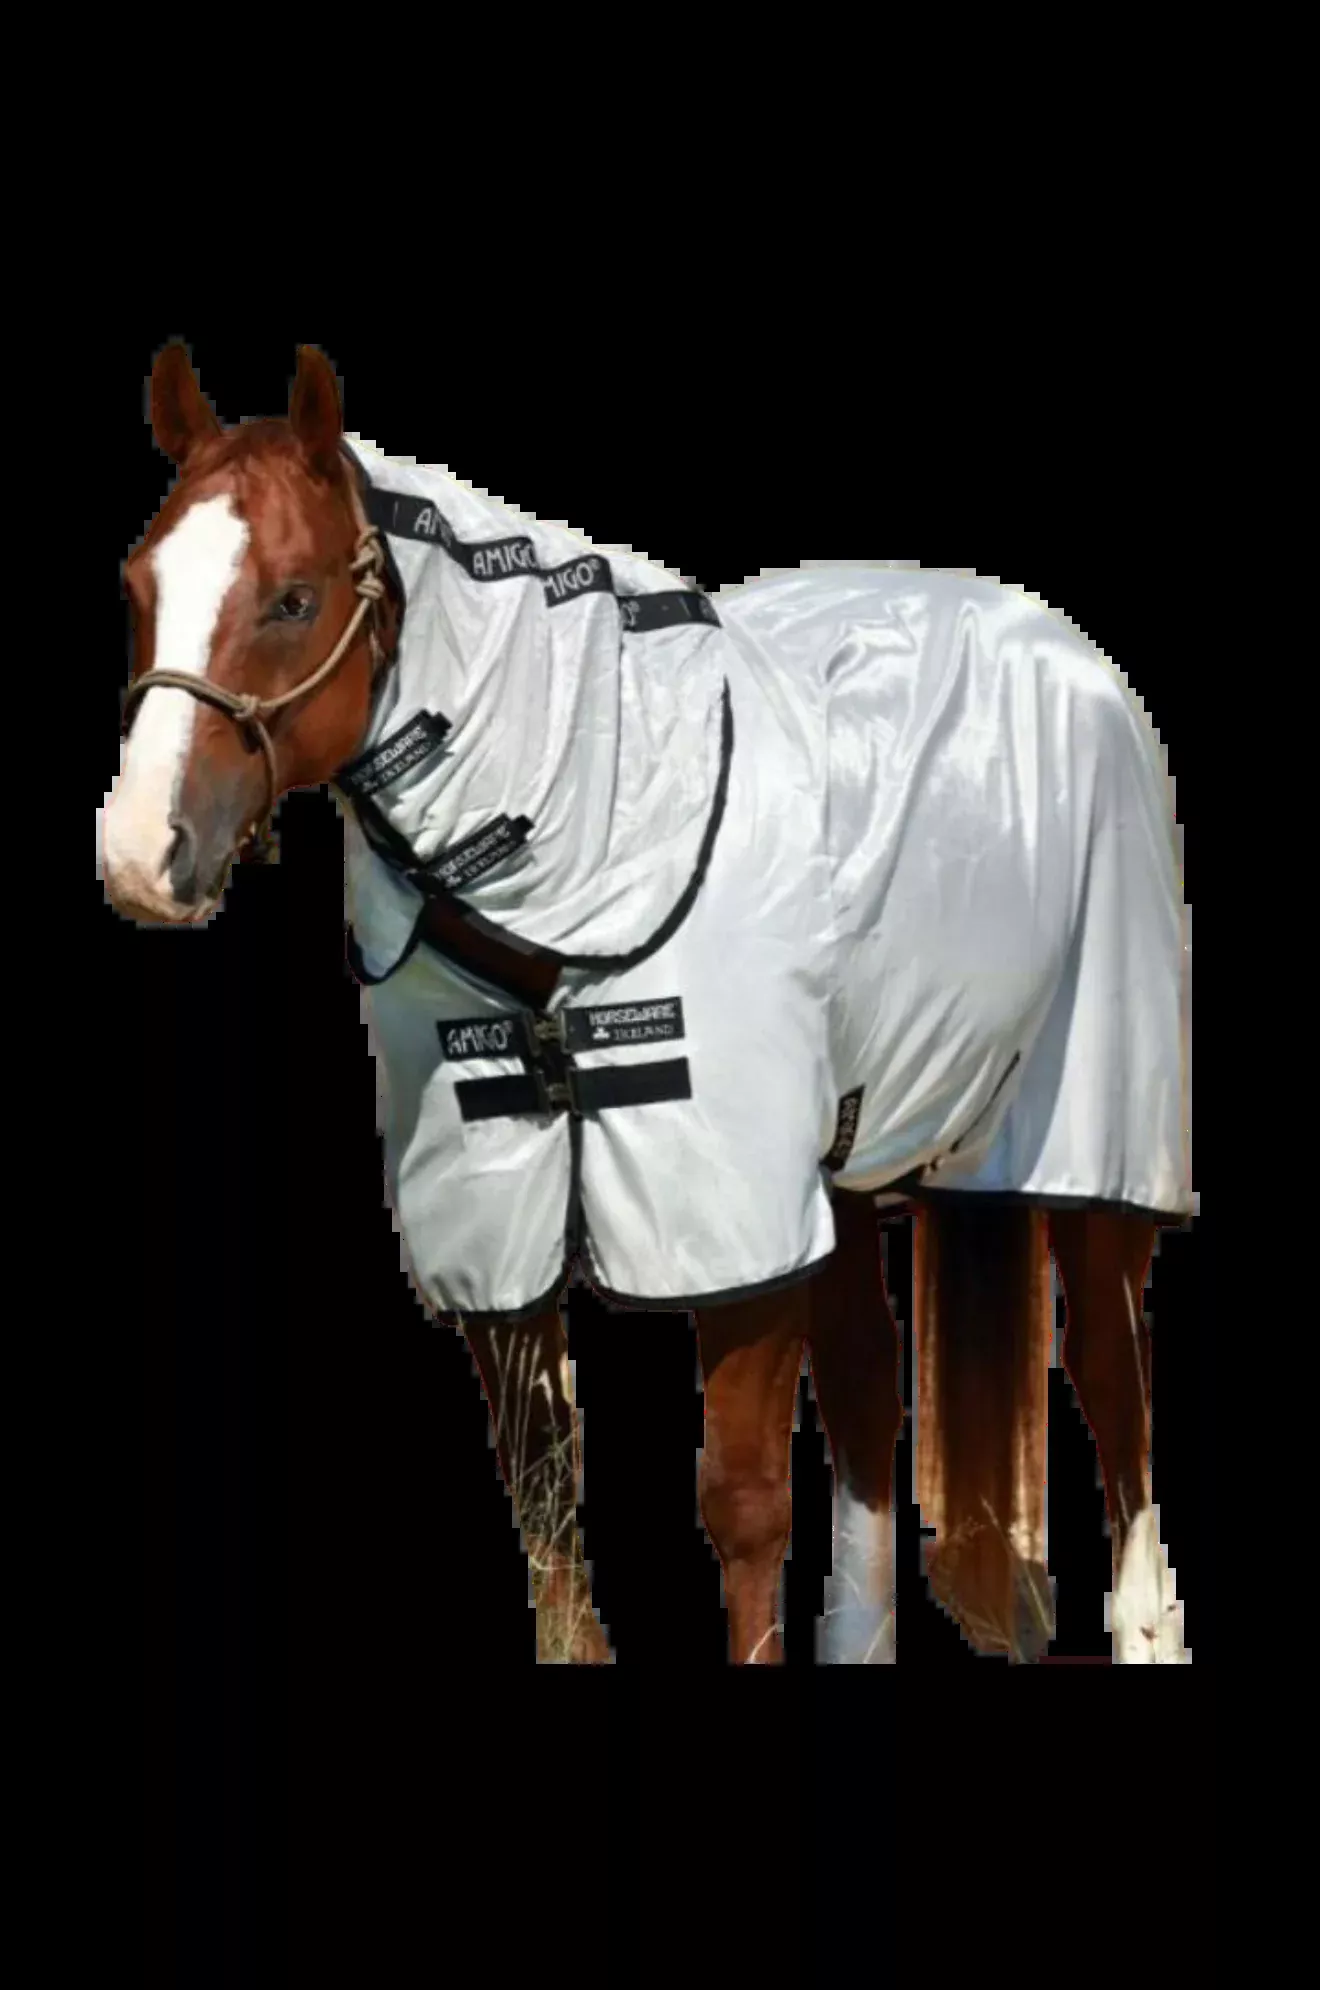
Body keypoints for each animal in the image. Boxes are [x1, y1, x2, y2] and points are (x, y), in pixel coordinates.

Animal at [101, 342, 1192, 1664]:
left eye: (293, 600)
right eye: (138, 585)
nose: (141, 854)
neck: (592, 840)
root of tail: (1067, 654)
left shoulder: (731, 1226)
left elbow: (743, 1504)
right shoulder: (498, 1223)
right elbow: (548, 1507)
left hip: (1092, 1140)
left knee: (1114, 1389)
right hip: (842, 1168)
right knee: (870, 1396)